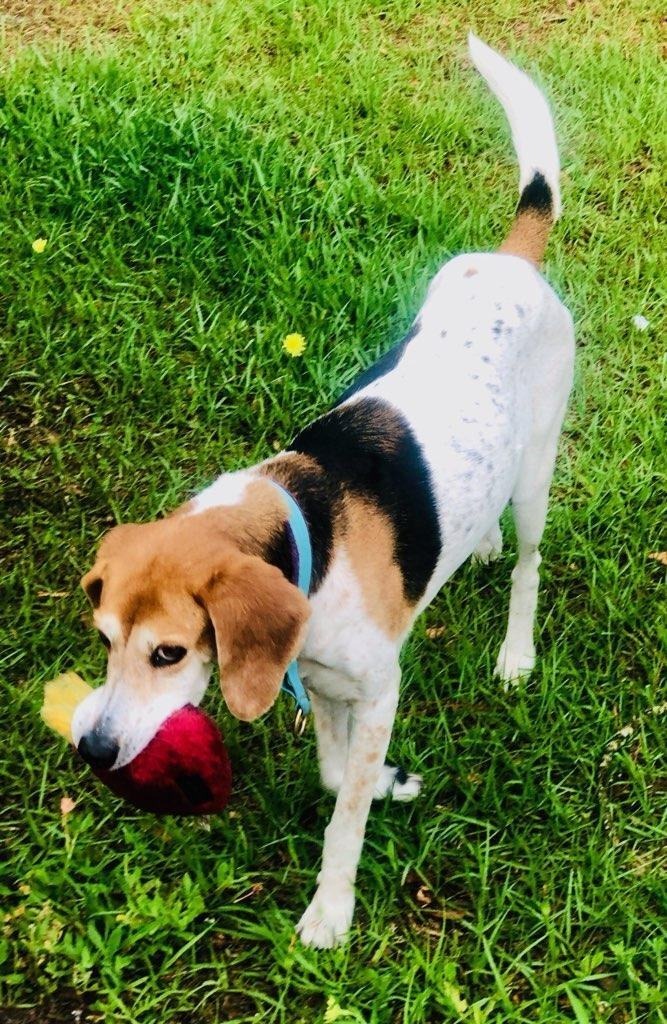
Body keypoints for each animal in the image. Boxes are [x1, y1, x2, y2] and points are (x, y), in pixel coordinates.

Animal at [71, 39, 573, 950]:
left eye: (169, 653)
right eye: (103, 638)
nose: (91, 748)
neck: (305, 527)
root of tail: (513, 259)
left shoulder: (376, 692)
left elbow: (345, 816)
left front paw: (330, 910)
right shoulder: (327, 686)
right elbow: (340, 776)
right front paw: (383, 785)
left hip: (538, 470)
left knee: (527, 565)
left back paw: (515, 652)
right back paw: (472, 544)